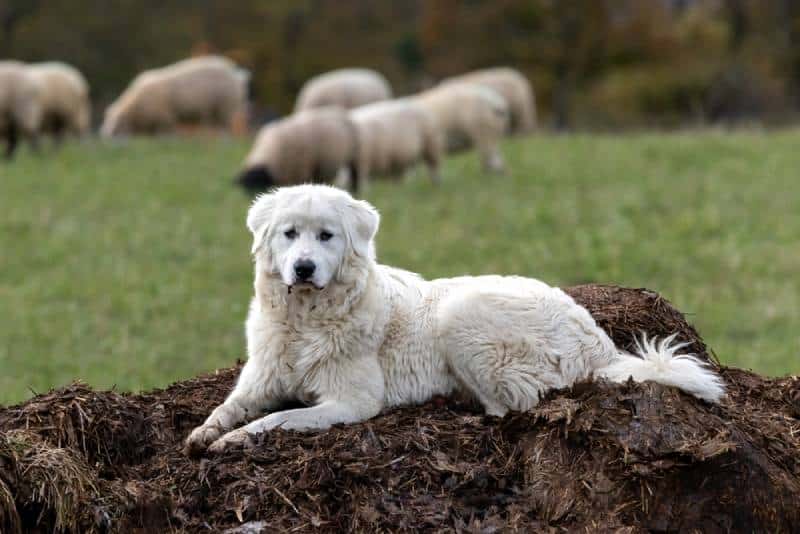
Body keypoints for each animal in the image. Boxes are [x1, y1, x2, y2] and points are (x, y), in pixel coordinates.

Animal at [101, 54, 248, 137]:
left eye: (116, 124)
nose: (105, 136)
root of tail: (237, 73)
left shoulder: (164, 118)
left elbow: (166, 134)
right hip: (216, 110)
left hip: (225, 107)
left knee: (226, 128)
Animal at [186, 185, 724, 456]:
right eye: (289, 234)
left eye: (326, 236)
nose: (302, 268)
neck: (305, 321)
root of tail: (601, 343)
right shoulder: (260, 379)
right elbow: (228, 407)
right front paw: (206, 433)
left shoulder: (351, 402)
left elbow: (279, 419)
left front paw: (234, 440)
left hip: (461, 316)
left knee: (509, 407)